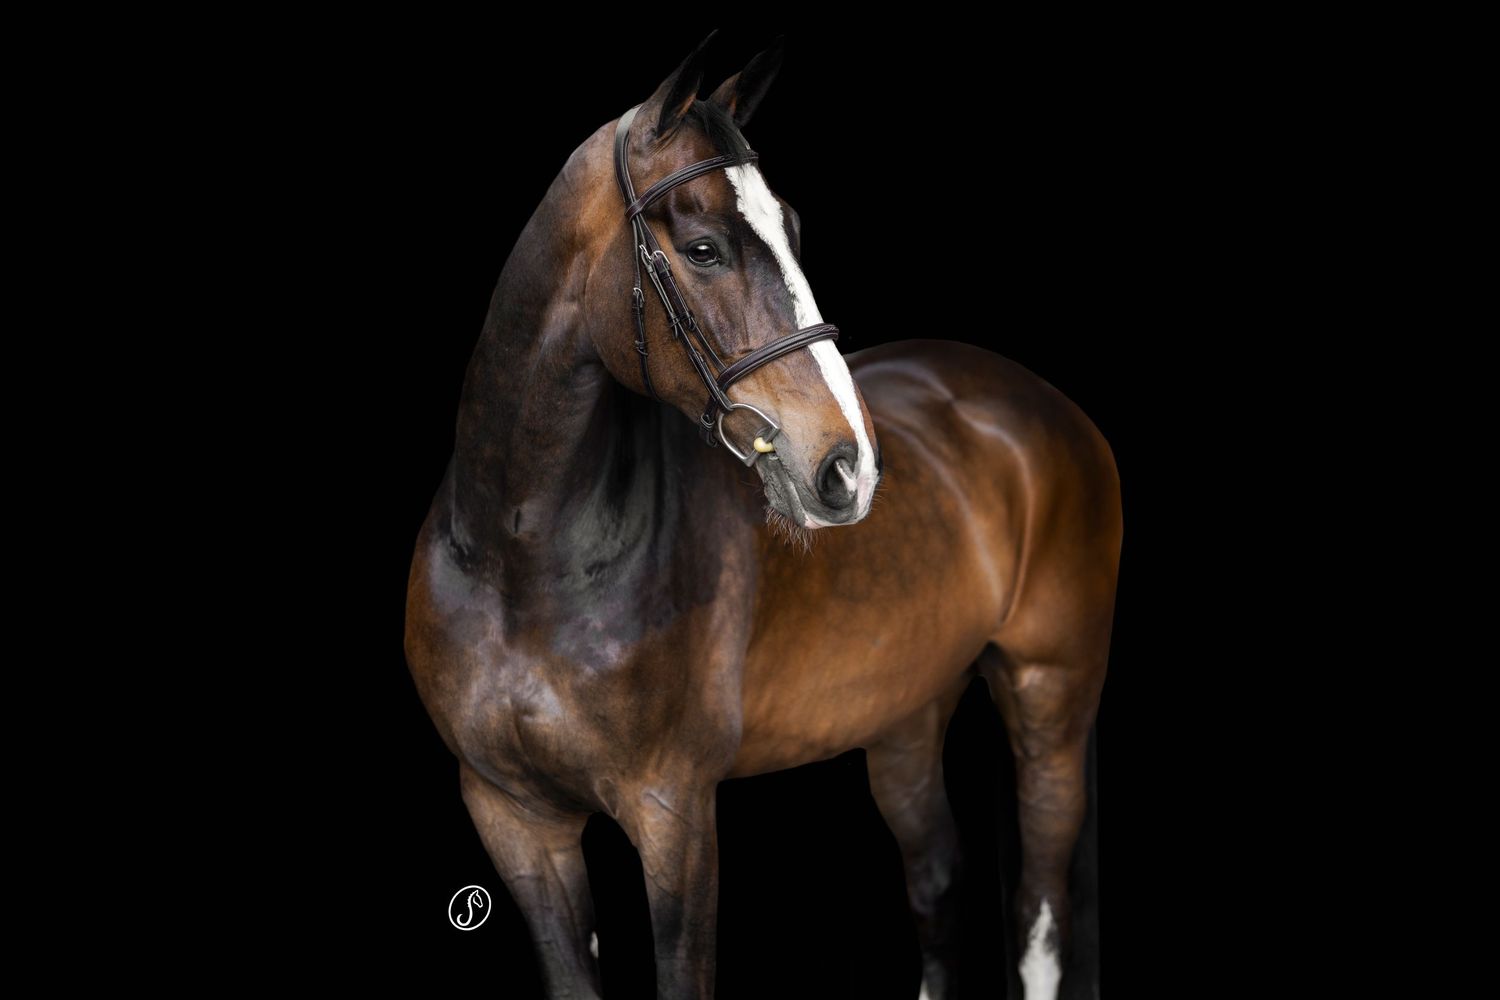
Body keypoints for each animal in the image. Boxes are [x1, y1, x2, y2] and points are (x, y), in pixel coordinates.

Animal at [403, 34, 1121, 1000]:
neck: (524, 564)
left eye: (794, 230)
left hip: (1050, 693)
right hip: (905, 713)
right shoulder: (514, 818)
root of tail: (1046, 406)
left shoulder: (674, 814)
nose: (849, 467)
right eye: (704, 248)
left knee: (1039, 914)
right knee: (939, 885)